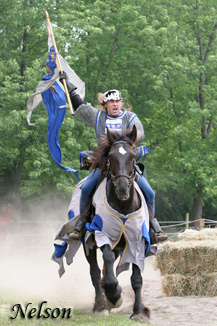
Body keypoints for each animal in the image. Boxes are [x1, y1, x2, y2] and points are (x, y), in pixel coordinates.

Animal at [83, 126, 151, 322]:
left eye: (133, 156)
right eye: (111, 157)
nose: (122, 188)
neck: (123, 206)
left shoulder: (137, 241)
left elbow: (137, 278)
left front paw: (139, 311)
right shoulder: (102, 235)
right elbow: (106, 261)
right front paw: (114, 296)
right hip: (88, 244)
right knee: (96, 271)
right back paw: (101, 305)